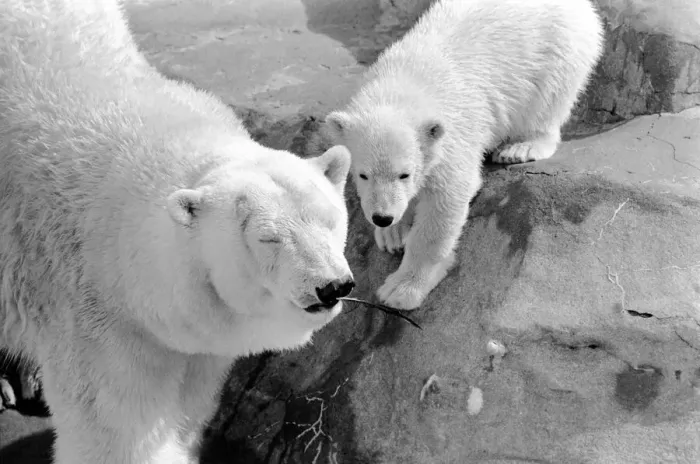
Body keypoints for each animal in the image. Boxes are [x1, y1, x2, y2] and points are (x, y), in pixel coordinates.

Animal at [0, 0, 355, 462]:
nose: (332, 286)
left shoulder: (195, 342)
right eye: (268, 238)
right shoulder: (92, 313)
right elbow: (118, 430)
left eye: (331, 220)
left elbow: (189, 403)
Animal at [324, 0, 604, 310]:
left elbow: (445, 203)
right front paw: (392, 234)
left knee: (547, 101)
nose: (382, 217)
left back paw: (520, 147)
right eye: (363, 174)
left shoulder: (453, 137)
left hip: (557, 51)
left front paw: (402, 288)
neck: (404, 84)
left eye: (405, 174)